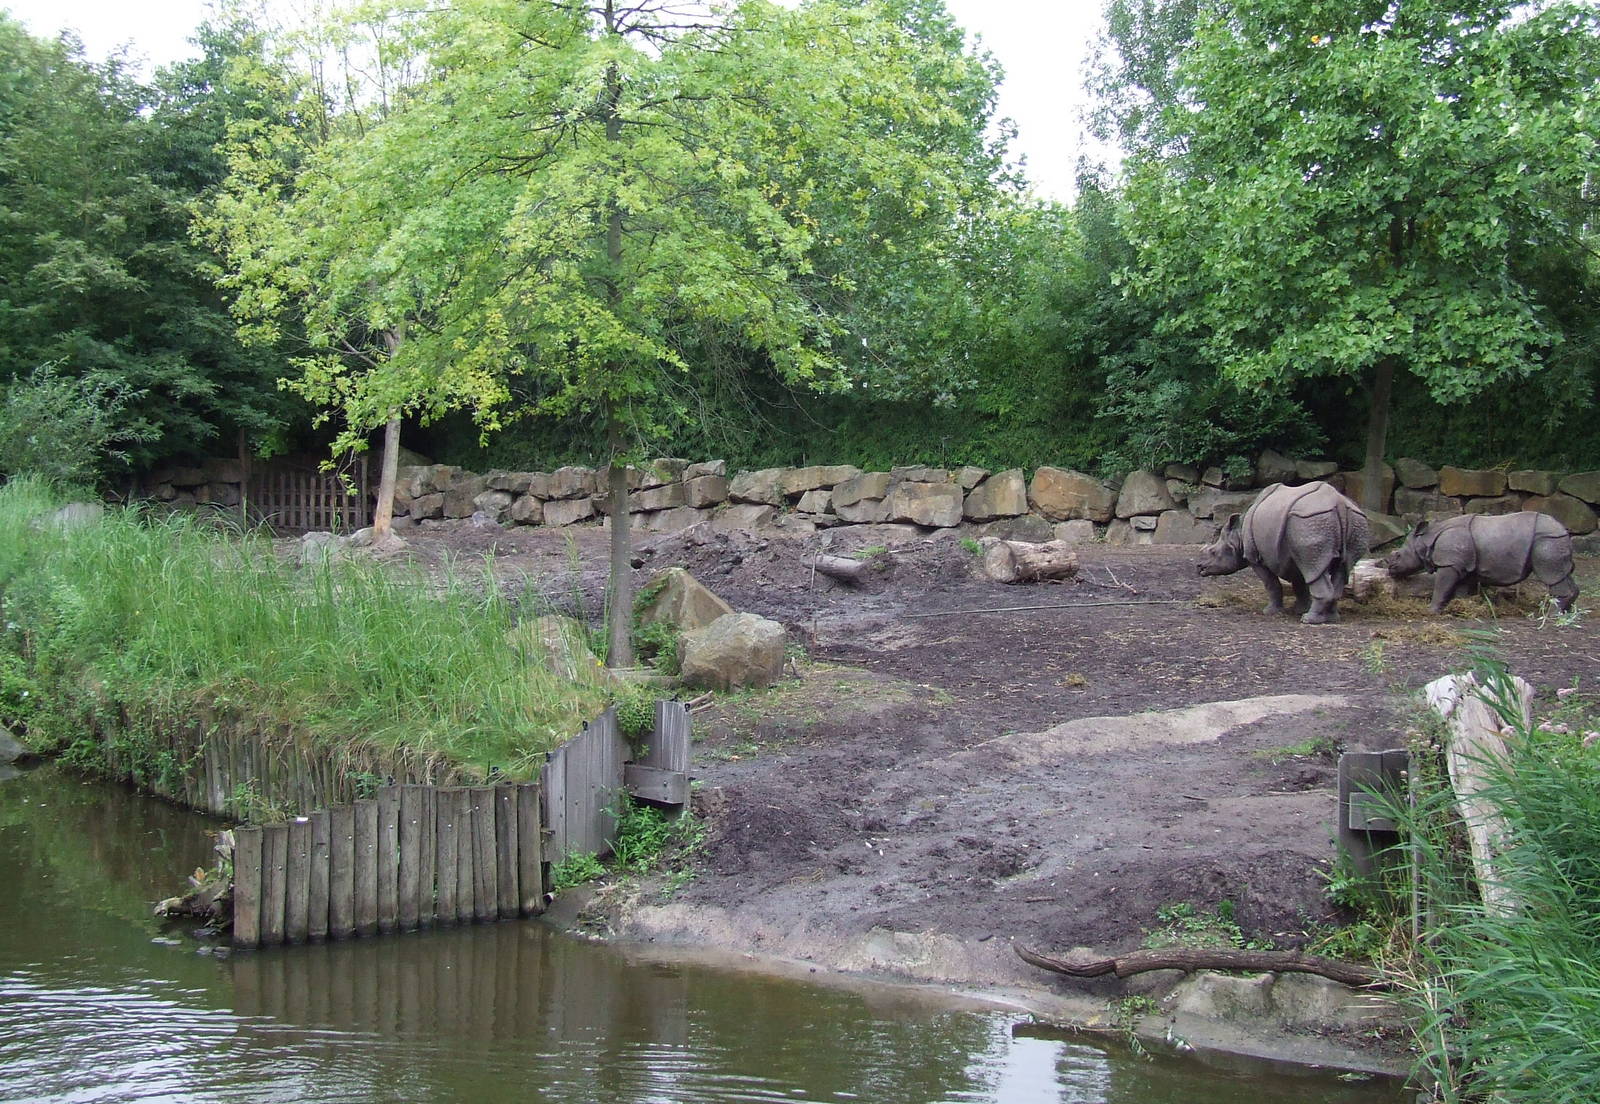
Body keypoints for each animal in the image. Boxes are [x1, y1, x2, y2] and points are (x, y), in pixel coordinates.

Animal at [1197, 481, 1370, 624]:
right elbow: (1300, 583)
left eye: (1213, 552)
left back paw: (1309, 620)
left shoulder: (1255, 558)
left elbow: (1272, 584)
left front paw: (1270, 612)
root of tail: (1339, 503)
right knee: (1341, 568)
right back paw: (1331, 618)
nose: (1199, 567)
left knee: (1314, 566)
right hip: (1350, 521)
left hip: (1309, 522)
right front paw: (1299, 609)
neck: (1237, 537)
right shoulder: (1292, 552)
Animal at [1380, 512, 1578, 614]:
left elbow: (1441, 586)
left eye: (1398, 555)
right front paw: (1461, 605)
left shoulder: (1450, 564)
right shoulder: (1464, 564)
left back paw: (1551, 615)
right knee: (1563, 573)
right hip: (1553, 539)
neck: (1424, 541)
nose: (1390, 569)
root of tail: (1564, 529)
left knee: (1551, 575)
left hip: (1547, 540)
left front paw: (1431, 611)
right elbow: (1461, 587)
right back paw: (1566, 612)